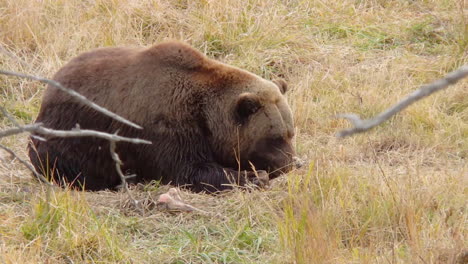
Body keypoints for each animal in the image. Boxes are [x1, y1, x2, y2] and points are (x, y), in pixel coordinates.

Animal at [28, 41, 296, 193]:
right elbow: (190, 169)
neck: (205, 117)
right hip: (68, 136)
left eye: (290, 133)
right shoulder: (165, 126)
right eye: (274, 137)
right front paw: (253, 177)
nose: (293, 162)